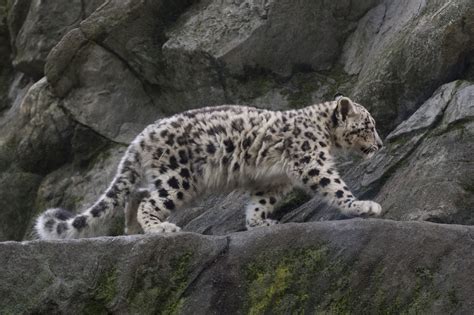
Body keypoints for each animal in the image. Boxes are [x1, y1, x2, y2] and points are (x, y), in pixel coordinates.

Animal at [35, 94, 384, 239]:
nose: (380, 145)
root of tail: (142, 136)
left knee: (136, 194)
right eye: (367, 125)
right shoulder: (312, 161)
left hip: (165, 176)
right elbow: (334, 186)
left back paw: (132, 230)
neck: (324, 133)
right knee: (150, 200)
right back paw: (159, 228)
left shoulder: (273, 181)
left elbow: (259, 202)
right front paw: (363, 206)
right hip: (179, 177)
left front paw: (259, 223)